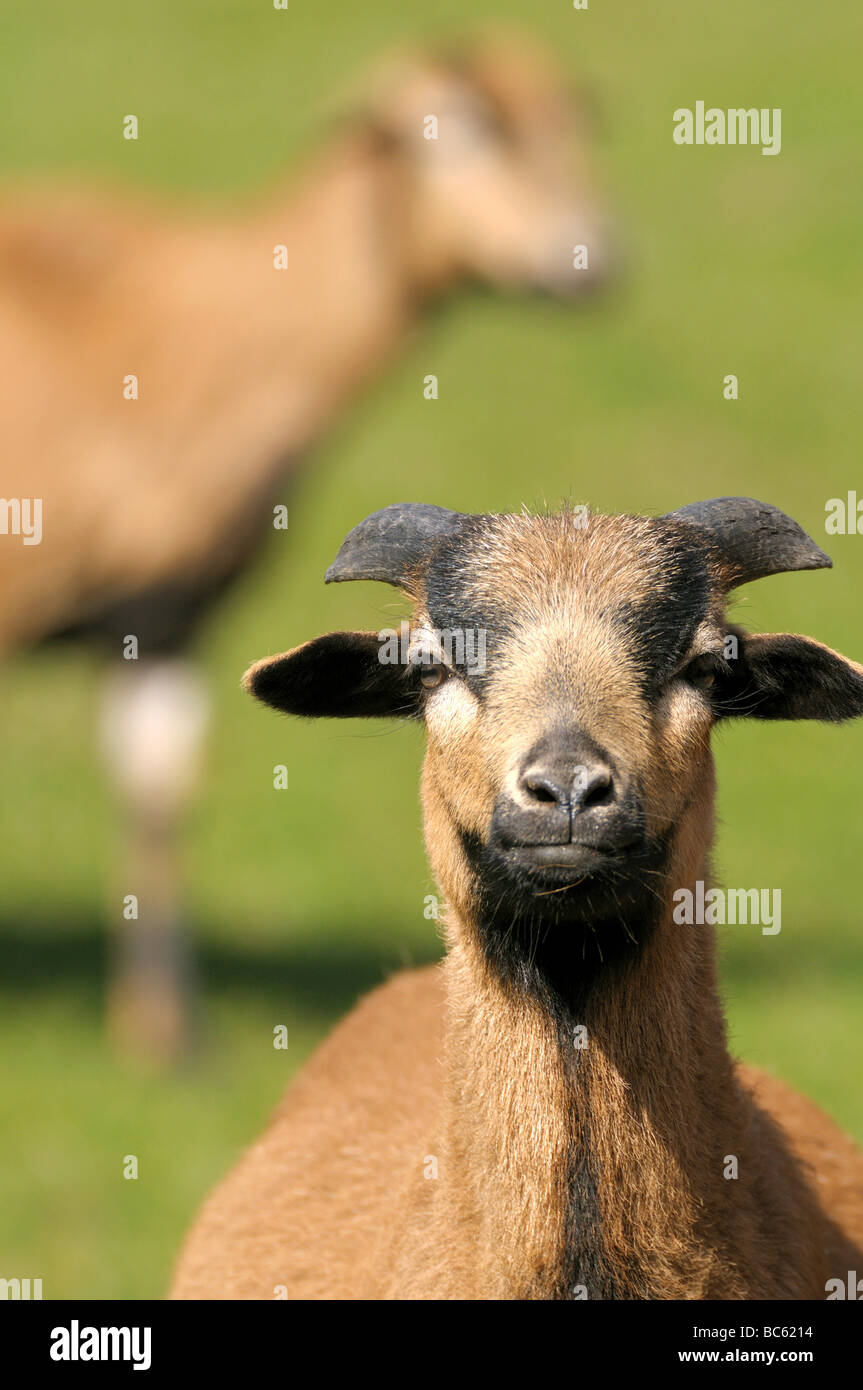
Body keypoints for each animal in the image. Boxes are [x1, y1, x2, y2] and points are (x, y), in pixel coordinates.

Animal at [0, 35, 612, 1061]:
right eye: (455, 129)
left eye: (569, 124)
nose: (591, 262)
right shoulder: (148, 601)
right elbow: (154, 795)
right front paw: (161, 1035)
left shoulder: (170, 617)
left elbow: (164, 791)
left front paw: (169, 1032)